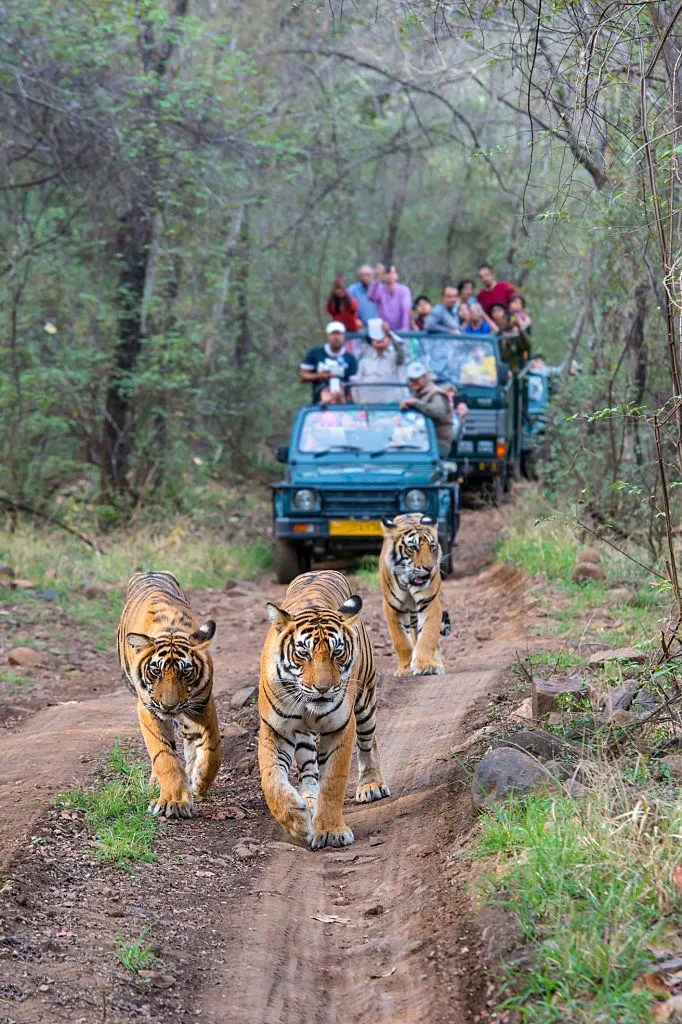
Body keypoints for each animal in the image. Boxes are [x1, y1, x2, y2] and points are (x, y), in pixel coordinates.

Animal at [117, 571, 221, 819]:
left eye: (186, 673)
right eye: (156, 671)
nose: (169, 706)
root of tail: (149, 571)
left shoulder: (202, 703)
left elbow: (213, 748)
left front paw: (200, 782)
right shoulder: (148, 709)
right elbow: (164, 756)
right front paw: (173, 801)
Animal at [258, 569, 390, 850]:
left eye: (337, 652)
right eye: (303, 653)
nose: (323, 688)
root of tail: (320, 570)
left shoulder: (340, 727)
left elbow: (333, 783)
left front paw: (331, 831)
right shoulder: (275, 729)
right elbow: (271, 779)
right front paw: (296, 819)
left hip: (365, 700)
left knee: (368, 743)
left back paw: (371, 784)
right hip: (303, 735)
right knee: (308, 767)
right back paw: (308, 801)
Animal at [379, 513, 445, 676]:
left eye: (432, 547)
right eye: (413, 548)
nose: (430, 568)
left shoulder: (429, 602)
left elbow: (428, 635)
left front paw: (426, 665)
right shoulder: (391, 608)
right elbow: (401, 641)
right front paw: (404, 670)